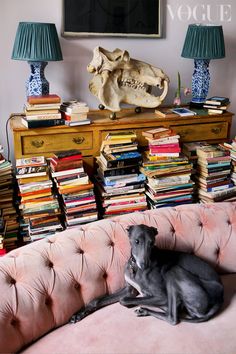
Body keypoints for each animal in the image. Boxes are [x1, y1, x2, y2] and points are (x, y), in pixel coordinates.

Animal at [69, 225, 223, 324]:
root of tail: (220, 297)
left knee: (172, 317)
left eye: (152, 243)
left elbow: (124, 300)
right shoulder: (130, 289)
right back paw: (145, 311)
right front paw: (78, 314)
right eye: (136, 241)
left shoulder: (161, 295)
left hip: (173, 271)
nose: (144, 265)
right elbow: (97, 300)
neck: (136, 268)